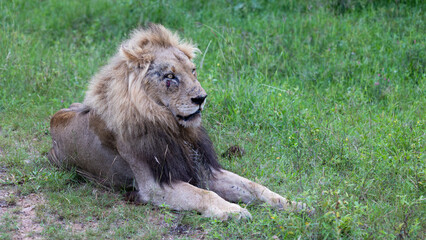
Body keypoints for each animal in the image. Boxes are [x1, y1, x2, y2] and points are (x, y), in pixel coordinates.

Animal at [48, 23, 312, 219]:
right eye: (170, 76)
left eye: (192, 71)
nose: (201, 98)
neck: (176, 130)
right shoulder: (154, 186)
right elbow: (203, 195)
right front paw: (232, 210)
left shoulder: (203, 169)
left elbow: (255, 186)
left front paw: (295, 204)